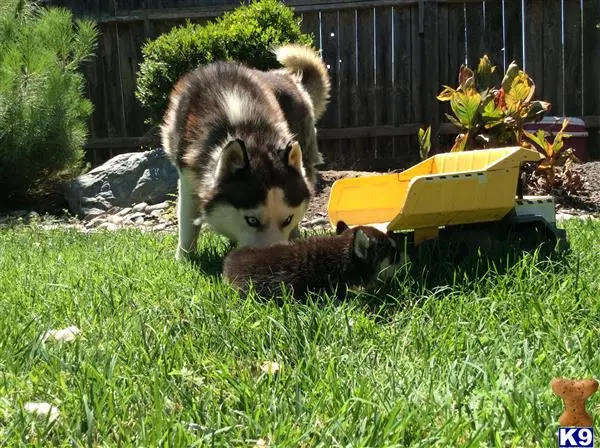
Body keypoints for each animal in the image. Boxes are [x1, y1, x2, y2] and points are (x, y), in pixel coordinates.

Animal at [162, 43, 330, 260]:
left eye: (287, 219)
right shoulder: (188, 176)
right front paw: (184, 259)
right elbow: (188, 223)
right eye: (251, 220)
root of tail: (287, 77)